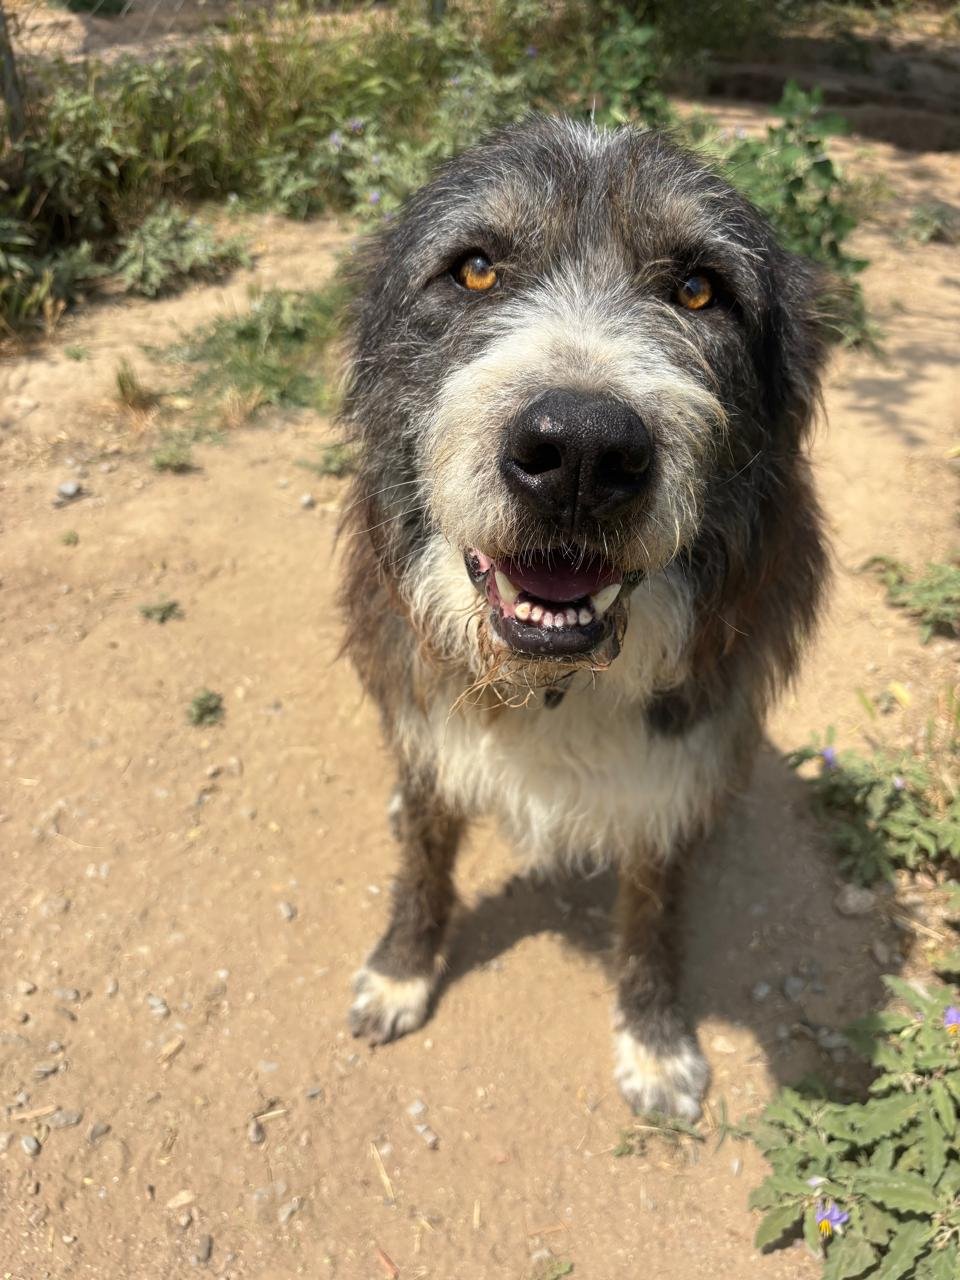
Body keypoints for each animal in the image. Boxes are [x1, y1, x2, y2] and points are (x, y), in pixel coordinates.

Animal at [338, 115, 828, 1120]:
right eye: (474, 270)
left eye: (699, 290)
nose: (579, 453)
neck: (551, 679)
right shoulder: (430, 718)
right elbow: (426, 861)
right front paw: (402, 969)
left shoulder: (676, 768)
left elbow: (651, 911)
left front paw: (655, 1041)